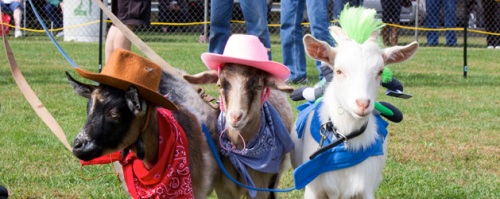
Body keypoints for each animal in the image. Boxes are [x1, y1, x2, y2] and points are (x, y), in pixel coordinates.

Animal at [292, 26, 420, 197]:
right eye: (339, 71)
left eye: (380, 71)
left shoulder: (365, 189)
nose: (363, 104)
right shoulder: (314, 189)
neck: (345, 137)